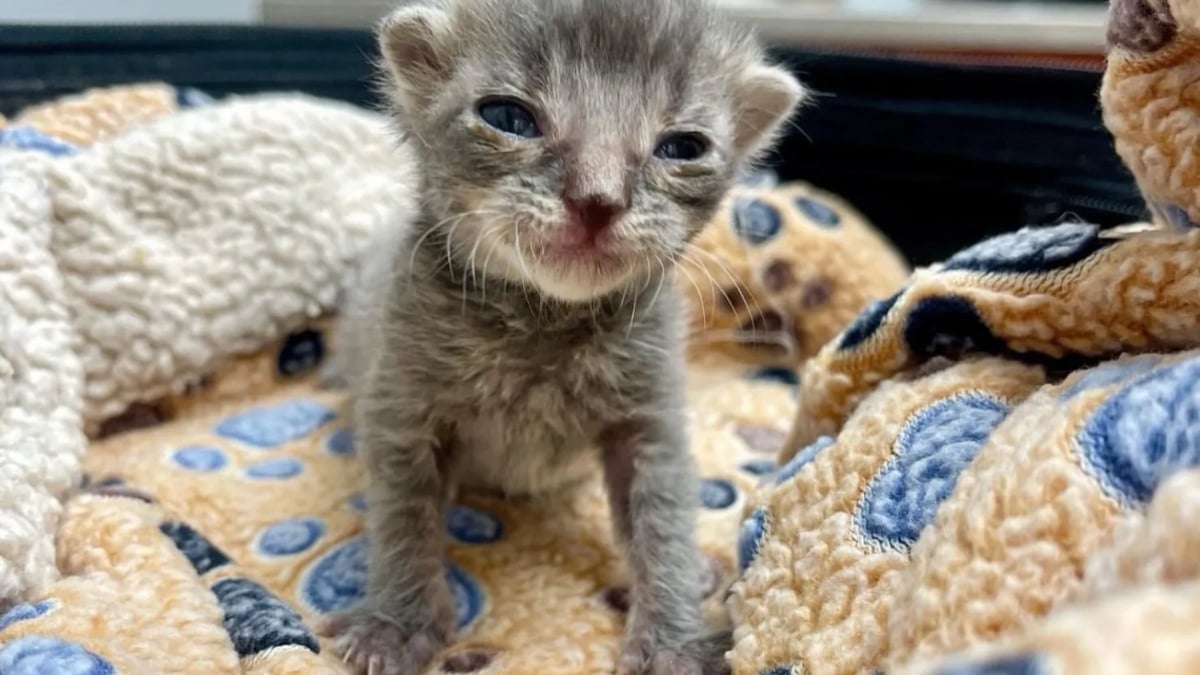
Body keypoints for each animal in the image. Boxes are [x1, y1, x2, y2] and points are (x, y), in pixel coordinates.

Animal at [324, 2, 801, 667]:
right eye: (507, 118)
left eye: (683, 147)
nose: (598, 199)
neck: (544, 324)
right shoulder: (402, 405)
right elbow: (403, 514)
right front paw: (396, 624)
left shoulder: (650, 418)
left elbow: (663, 520)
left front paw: (675, 638)